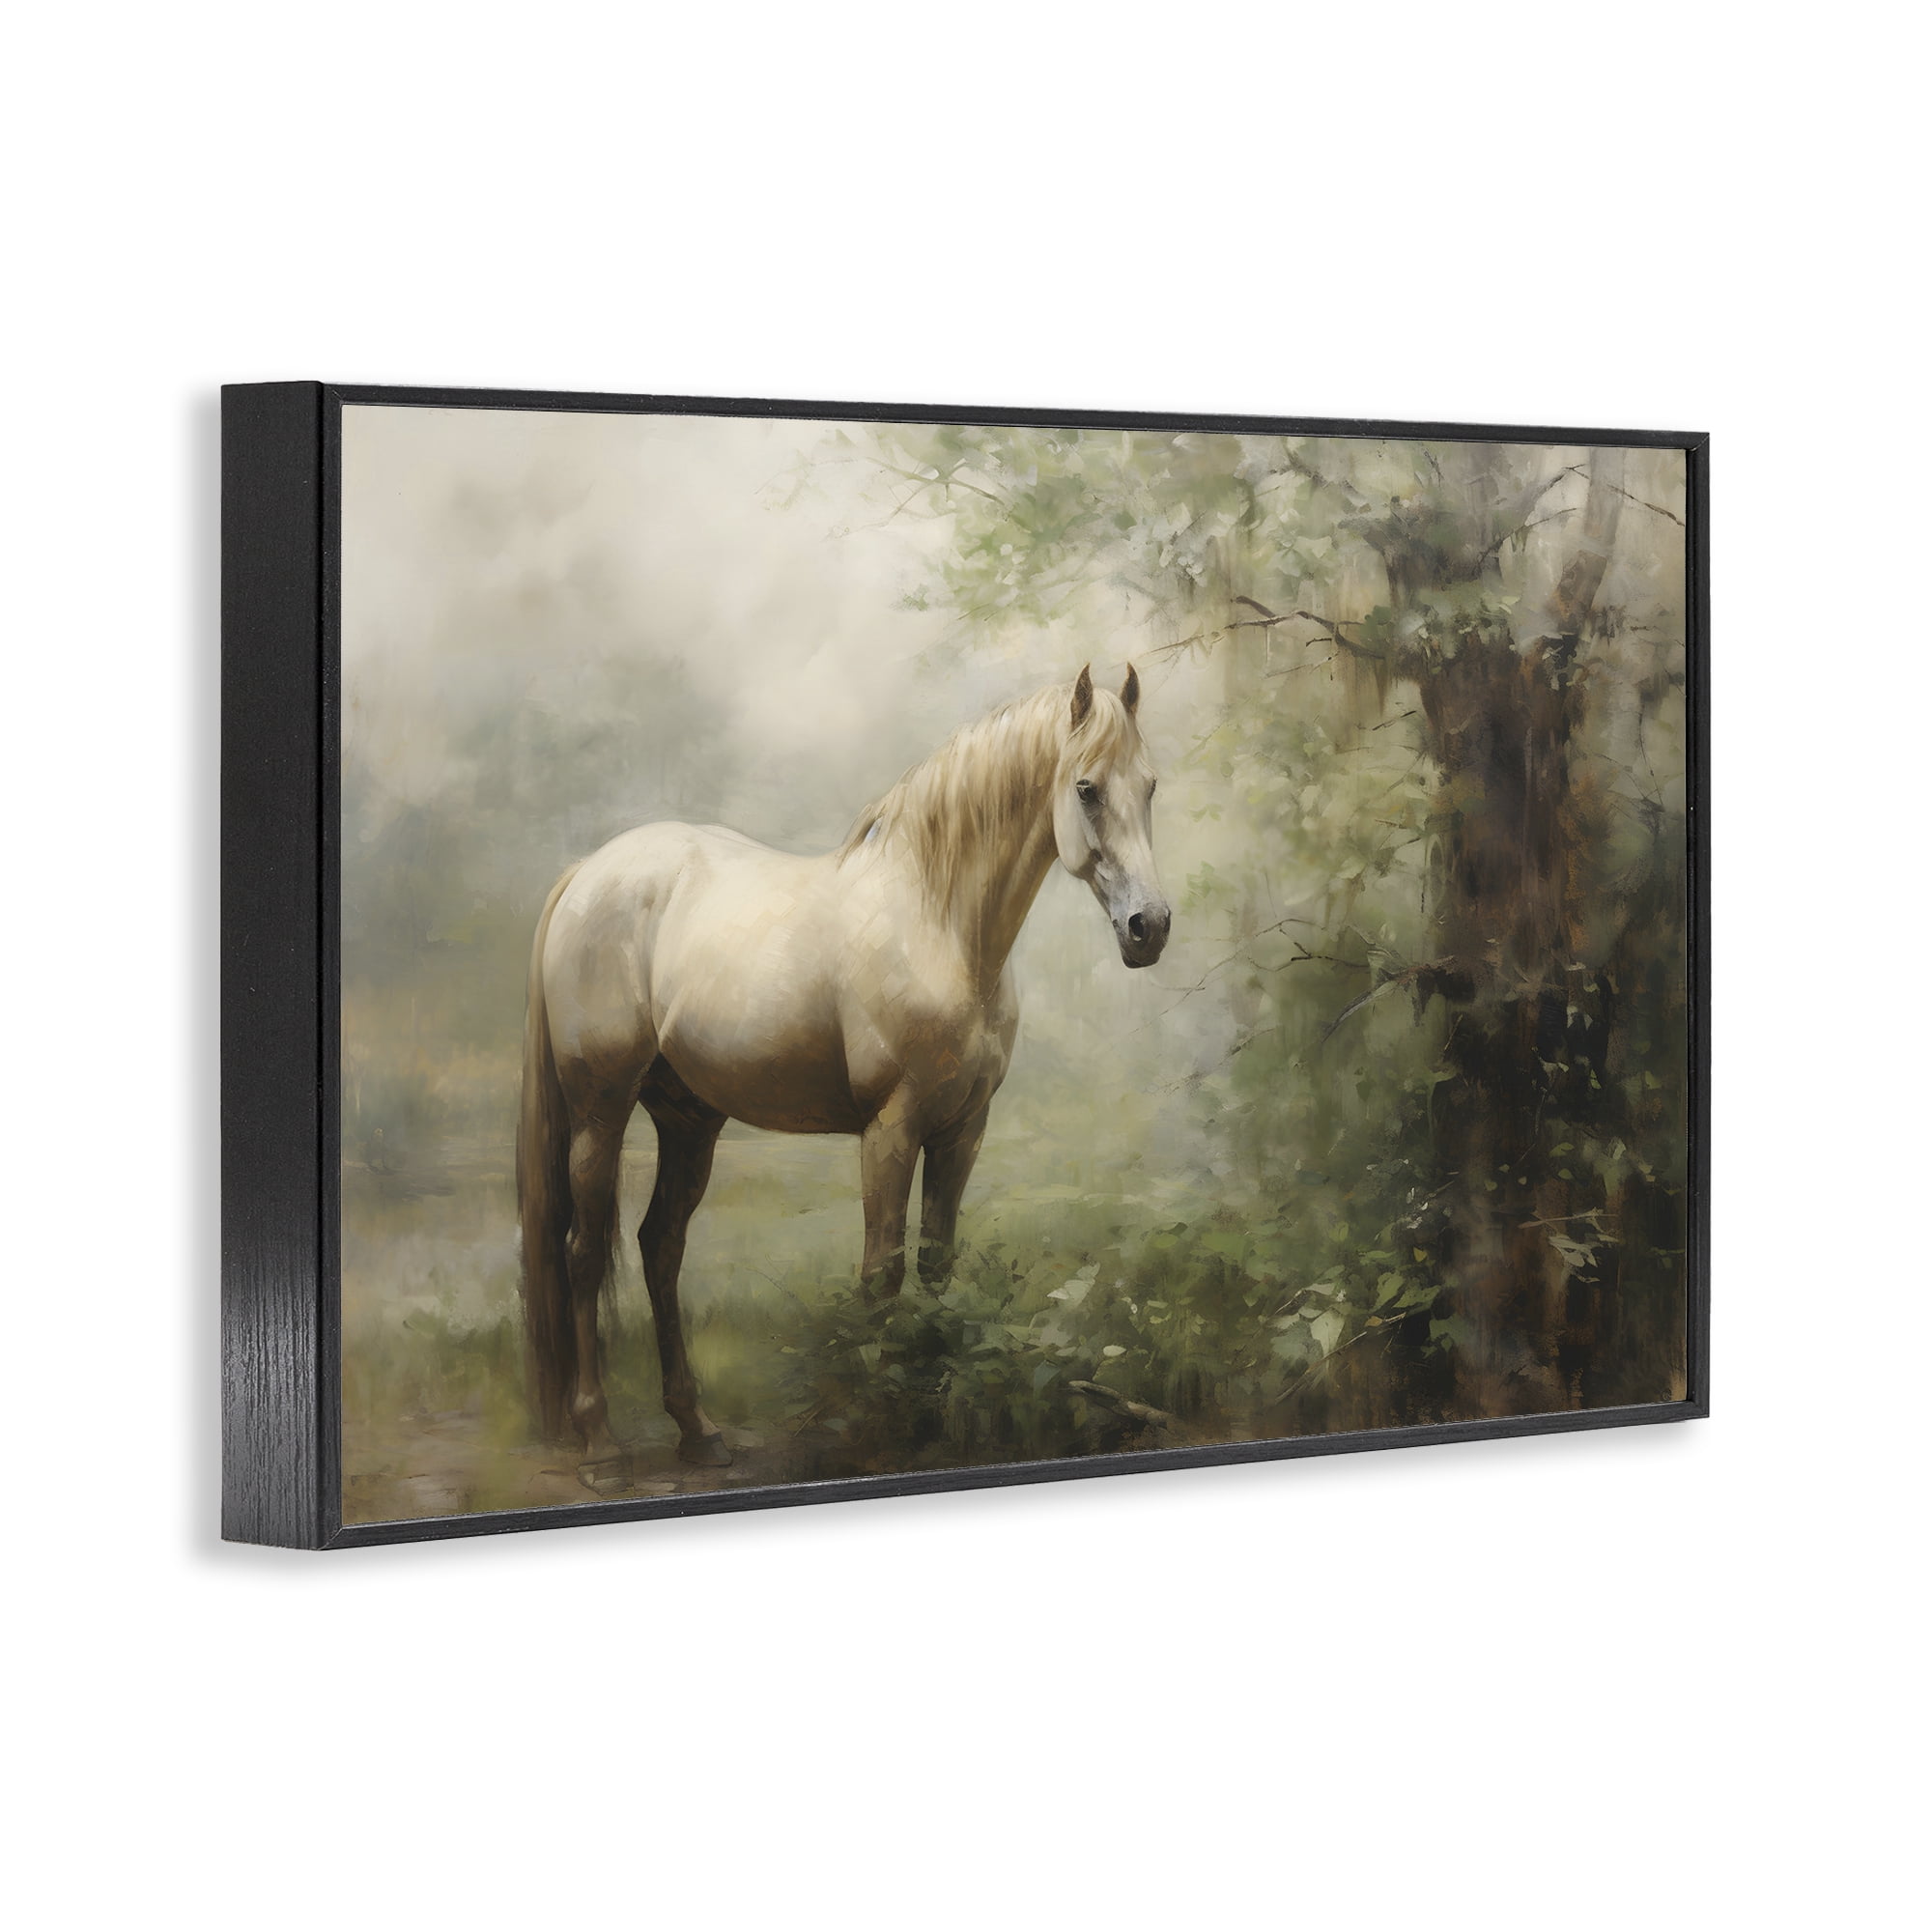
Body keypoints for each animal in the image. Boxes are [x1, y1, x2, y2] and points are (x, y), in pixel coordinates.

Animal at [516, 663, 1169, 1468]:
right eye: (1086, 788)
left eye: (1149, 785)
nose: (1149, 928)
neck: (940, 925)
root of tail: (587, 873)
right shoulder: (891, 1129)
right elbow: (880, 1274)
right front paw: (884, 1422)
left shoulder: (963, 1130)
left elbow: (937, 1264)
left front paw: (930, 1410)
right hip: (600, 1111)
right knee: (582, 1252)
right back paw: (599, 1440)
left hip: (689, 1120)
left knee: (659, 1249)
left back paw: (698, 1431)